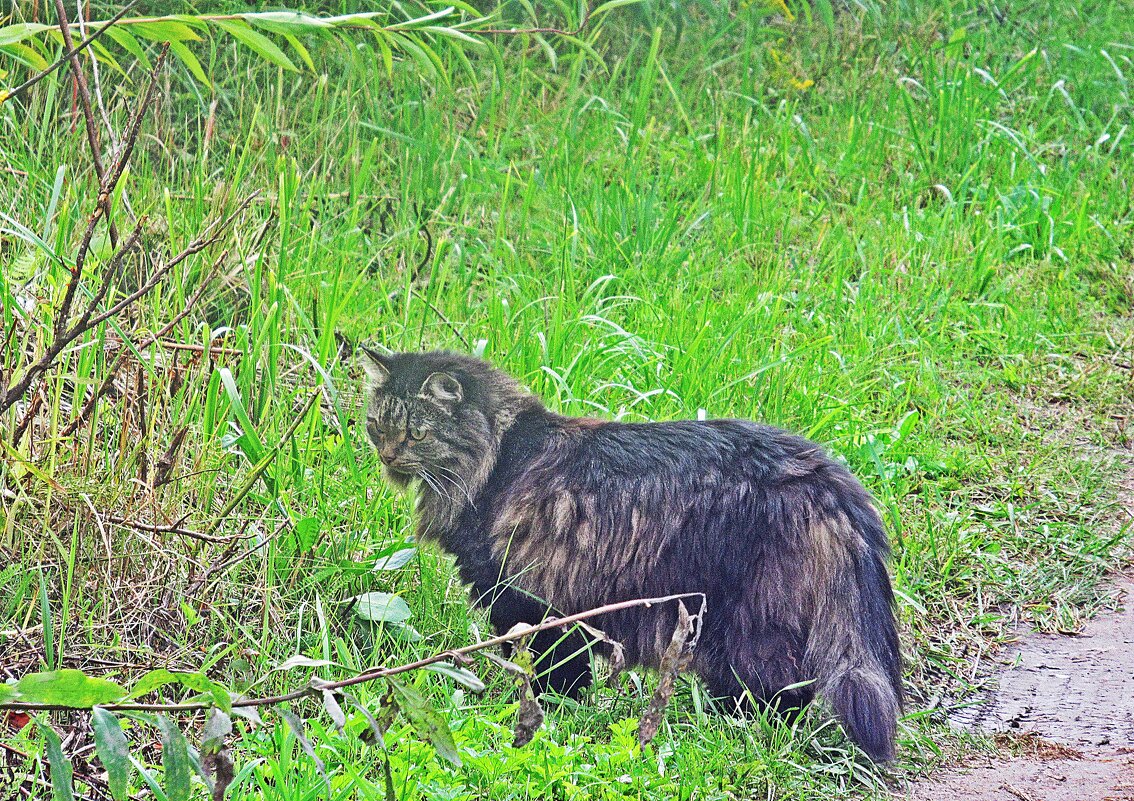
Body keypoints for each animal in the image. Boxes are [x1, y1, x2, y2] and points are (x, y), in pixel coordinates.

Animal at [360, 347, 902, 757]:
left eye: (417, 432)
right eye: (376, 425)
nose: (386, 455)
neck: (497, 457)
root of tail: (826, 476)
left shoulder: (530, 601)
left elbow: (552, 676)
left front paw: (554, 717)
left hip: (748, 625)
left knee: (779, 692)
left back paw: (740, 731)